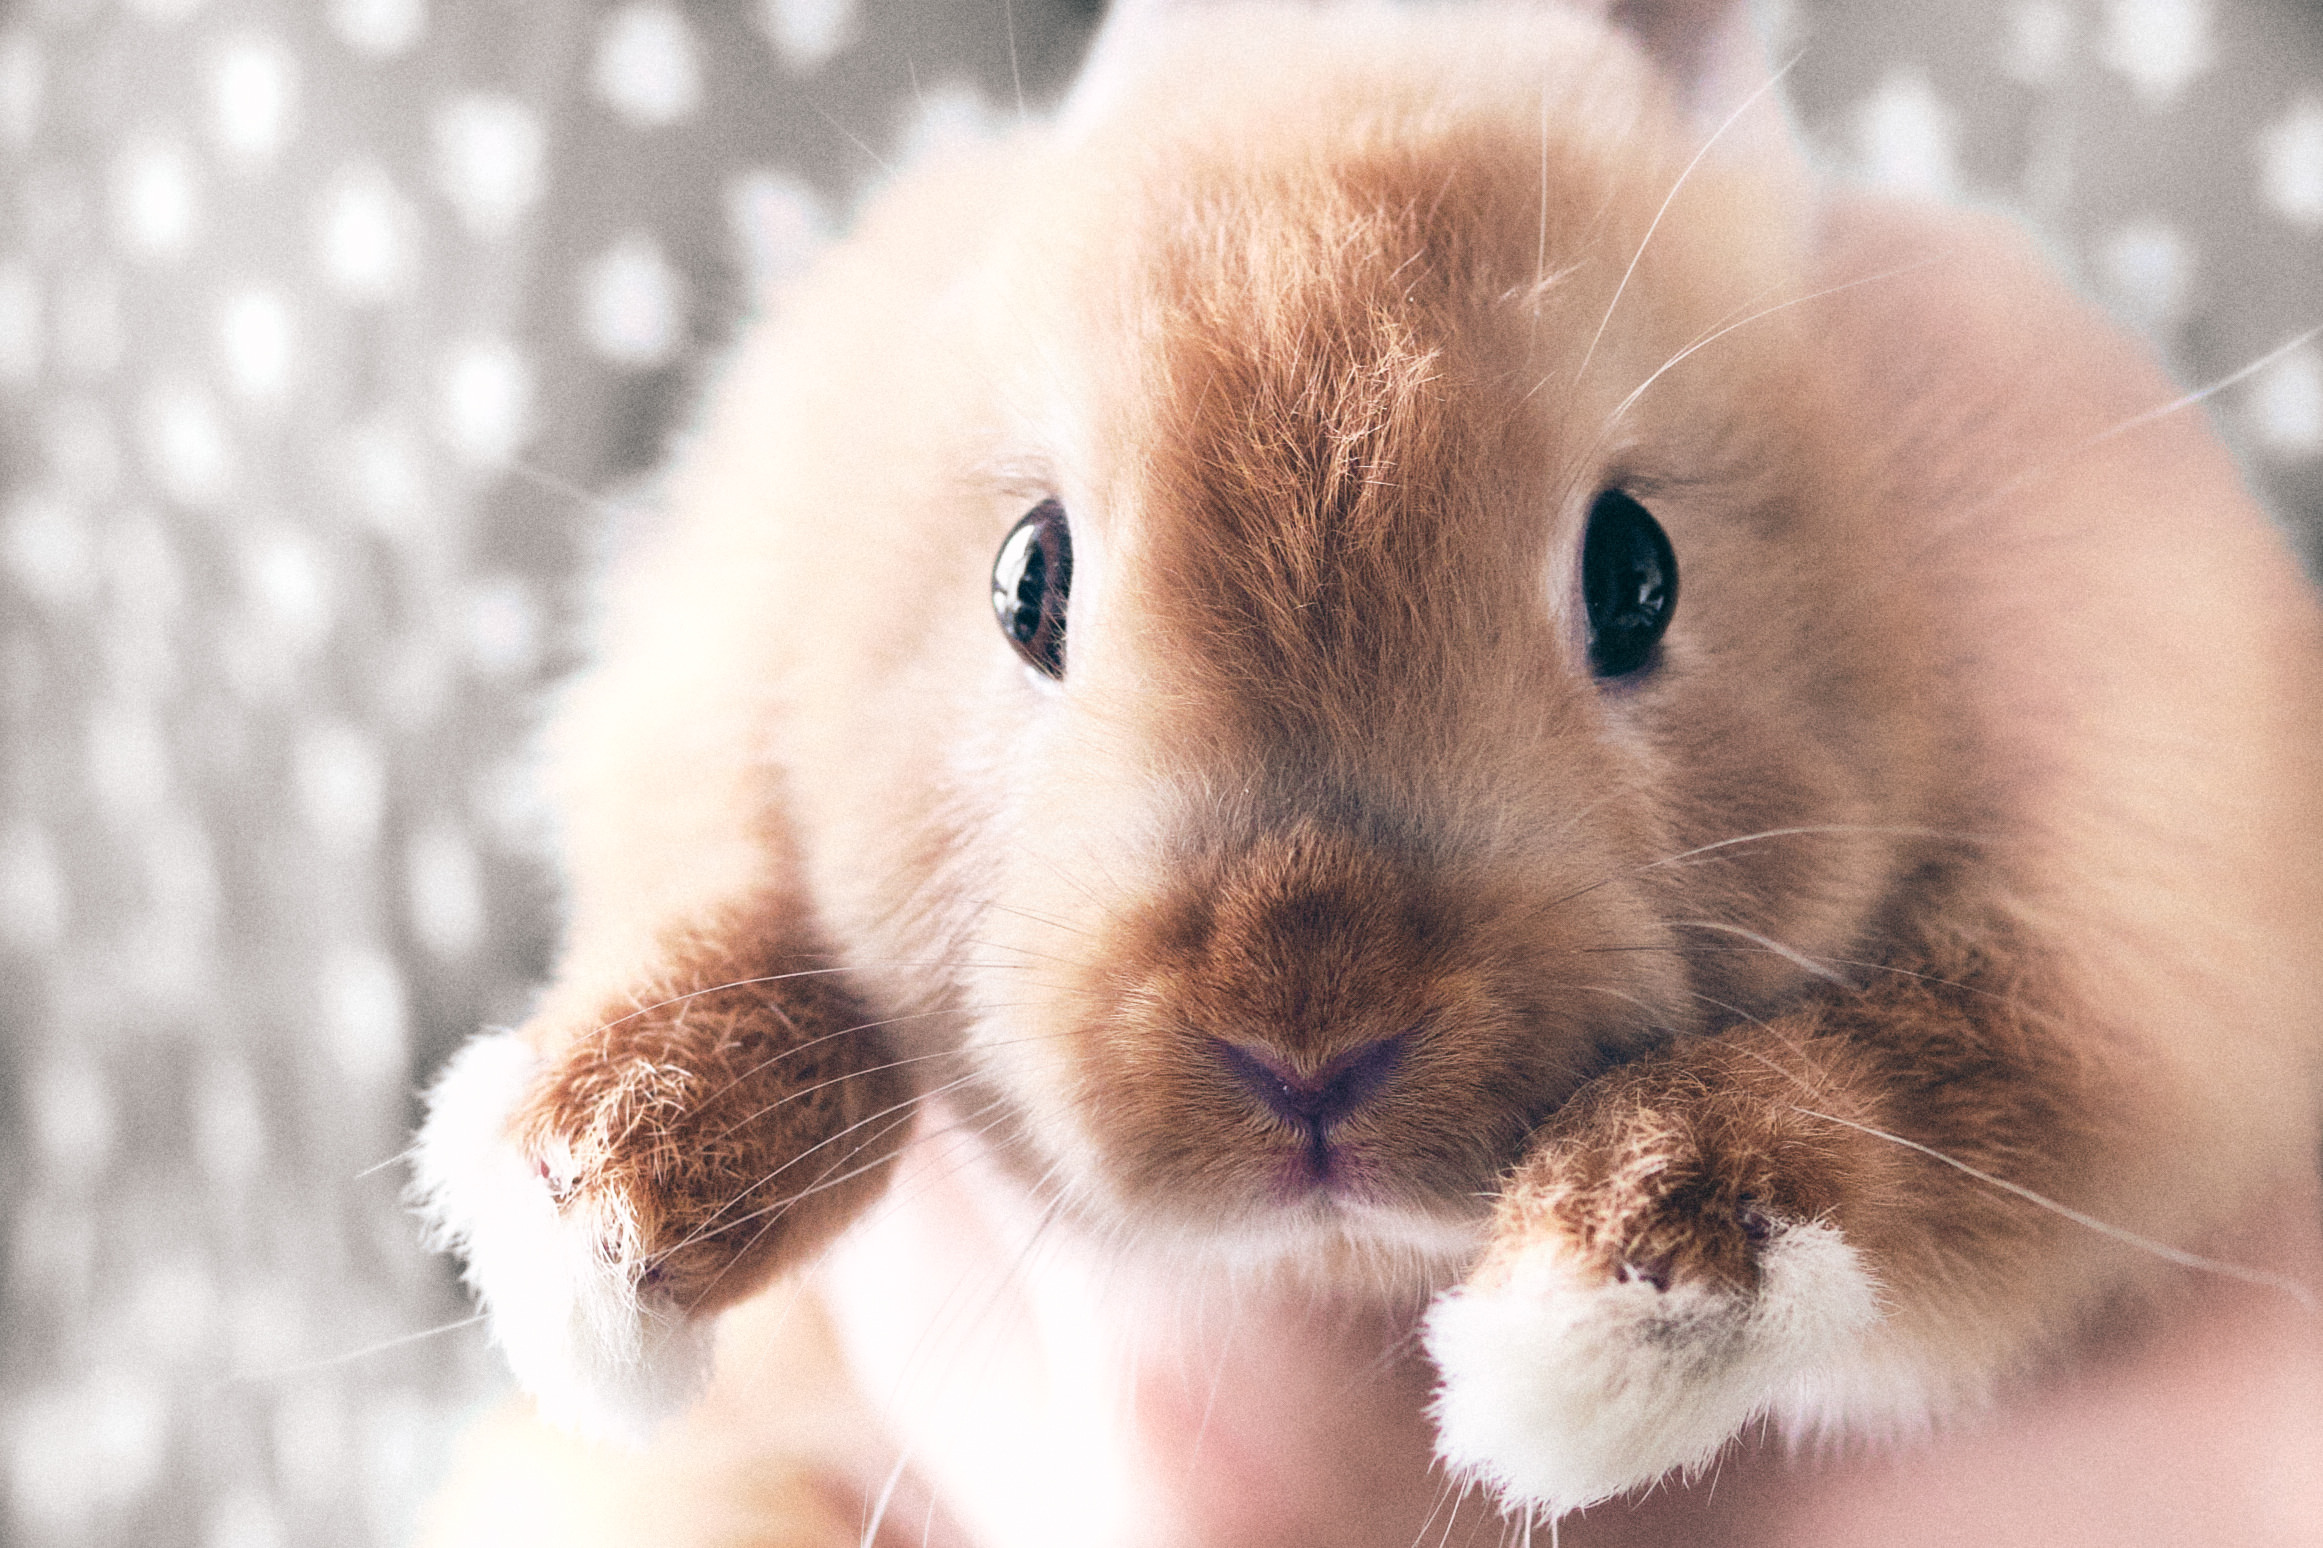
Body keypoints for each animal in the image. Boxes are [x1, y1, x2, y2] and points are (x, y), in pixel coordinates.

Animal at [410, 0, 2323, 1543]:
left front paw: (1568, 1341)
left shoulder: (2135, 965)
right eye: (1025, 578)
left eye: (1636, 576)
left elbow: (1914, 1100)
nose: (1304, 1036)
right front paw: (589, 1220)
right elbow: (729, 915)